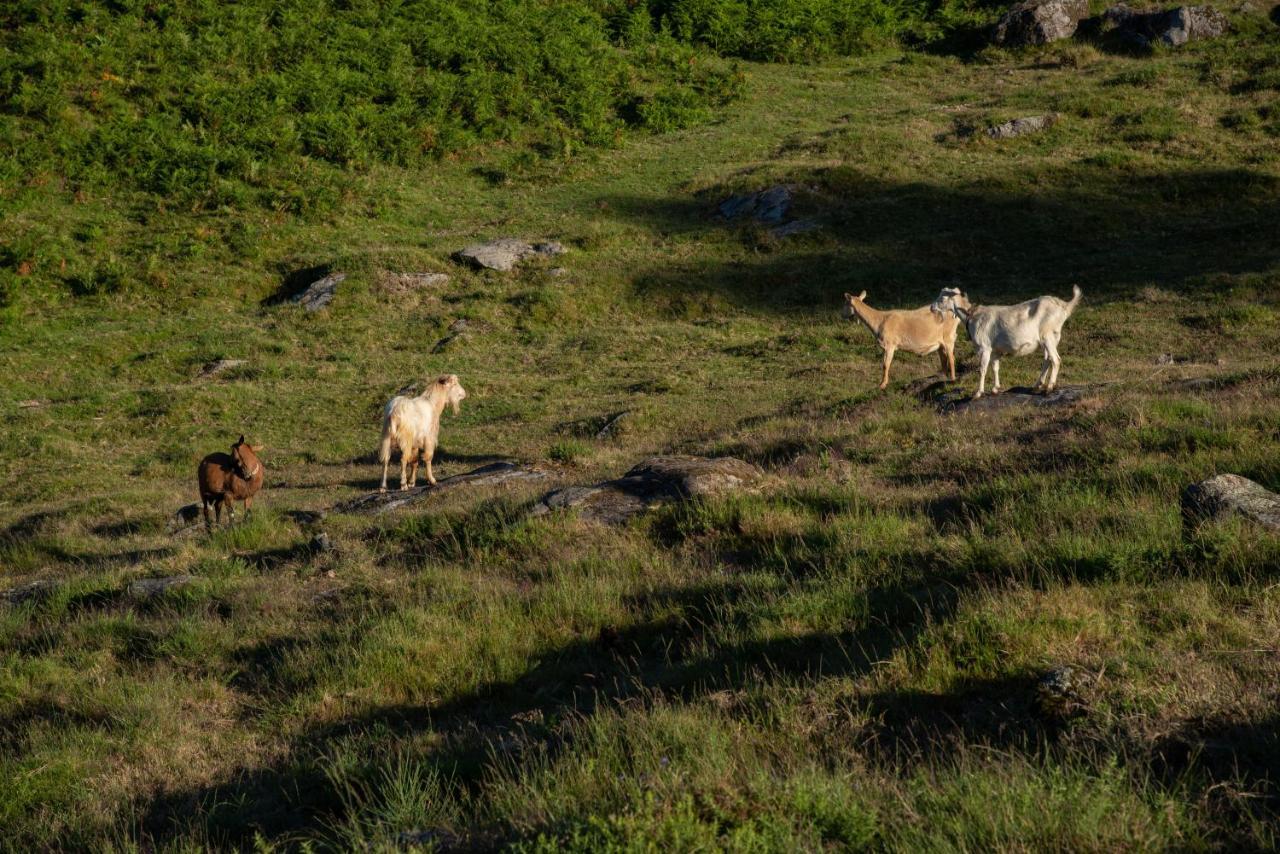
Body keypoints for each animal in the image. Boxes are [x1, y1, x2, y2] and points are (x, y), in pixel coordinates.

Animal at [931, 284, 1080, 396]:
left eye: (942, 298)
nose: (931, 307)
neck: (971, 316)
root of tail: (1064, 306)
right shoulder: (995, 350)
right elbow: (995, 367)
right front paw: (995, 388)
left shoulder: (984, 348)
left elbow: (983, 369)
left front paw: (978, 393)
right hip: (1051, 340)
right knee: (1047, 359)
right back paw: (1037, 385)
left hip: (1047, 336)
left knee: (1056, 359)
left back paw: (1049, 387)